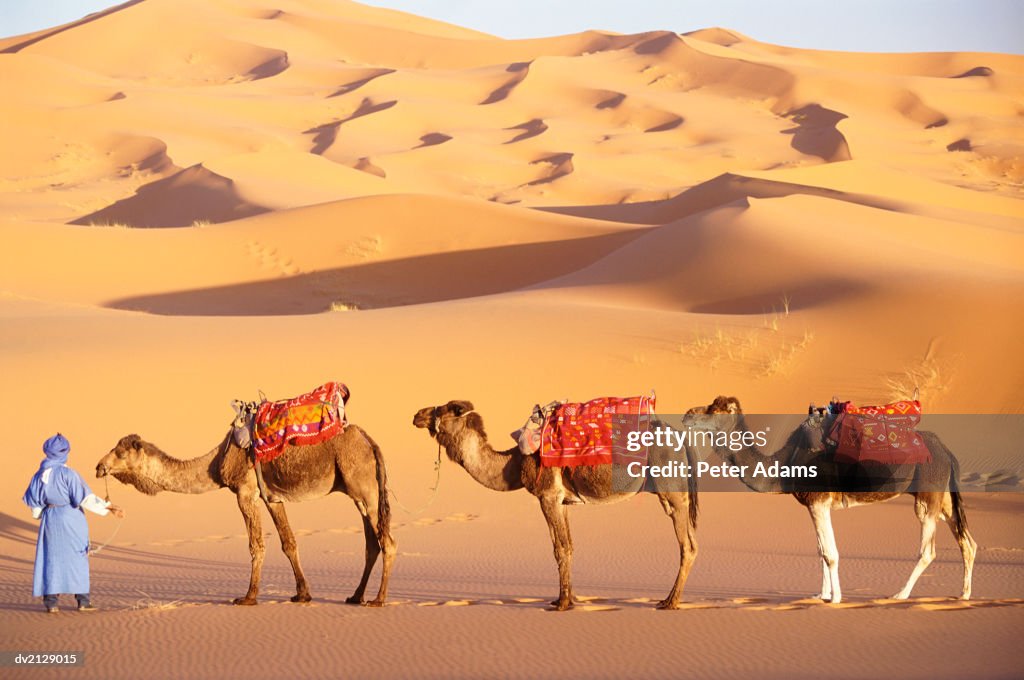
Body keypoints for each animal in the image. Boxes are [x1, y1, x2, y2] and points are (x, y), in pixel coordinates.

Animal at [95, 426, 395, 606]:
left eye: (120, 452)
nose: (99, 466)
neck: (217, 462)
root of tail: (370, 442)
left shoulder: (245, 491)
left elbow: (256, 545)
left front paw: (248, 597)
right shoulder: (273, 497)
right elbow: (288, 543)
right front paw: (302, 594)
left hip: (363, 487)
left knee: (387, 542)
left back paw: (378, 599)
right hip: (360, 494)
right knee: (372, 543)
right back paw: (355, 596)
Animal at [411, 399, 700, 610]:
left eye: (446, 409)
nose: (417, 414)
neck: (515, 462)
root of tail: (680, 437)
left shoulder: (547, 495)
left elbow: (559, 549)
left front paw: (562, 603)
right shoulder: (562, 501)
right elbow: (568, 546)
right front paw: (568, 598)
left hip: (672, 491)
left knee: (687, 545)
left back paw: (670, 602)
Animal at [692, 395, 970, 602]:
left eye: (715, 410)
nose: (689, 415)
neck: (787, 462)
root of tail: (946, 452)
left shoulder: (819, 501)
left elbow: (830, 553)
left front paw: (835, 598)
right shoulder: (814, 505)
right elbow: (820, 550)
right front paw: (821, 594)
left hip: (928, 492)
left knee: (928, 551)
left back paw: (900, 595)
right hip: (944, 496)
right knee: (967, 542)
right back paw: (964, 595)